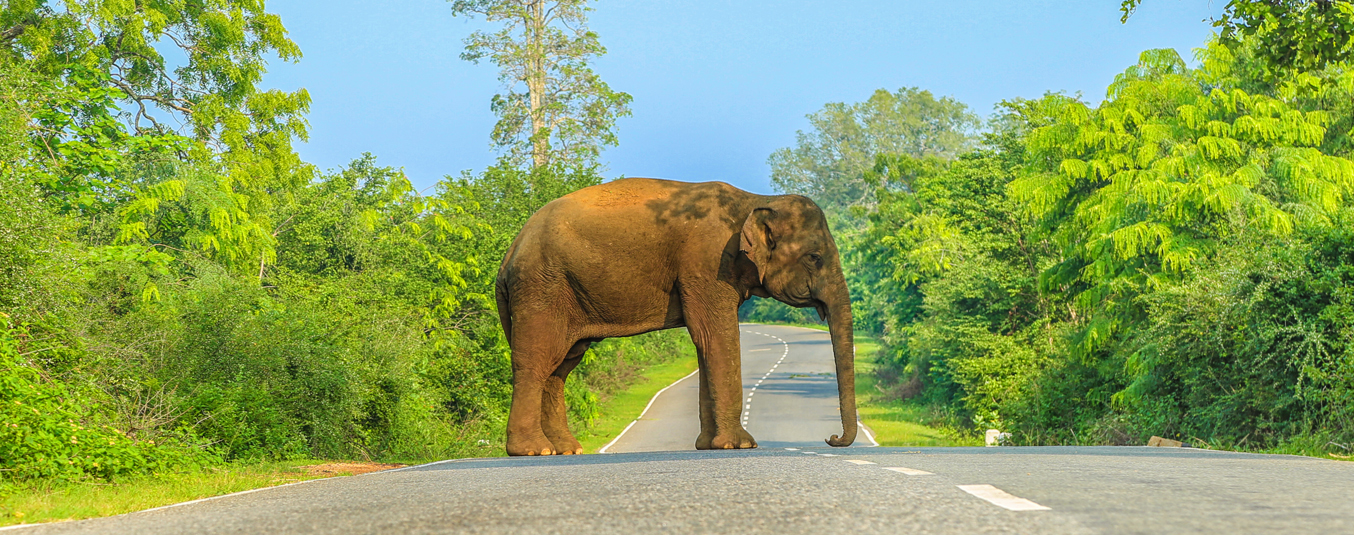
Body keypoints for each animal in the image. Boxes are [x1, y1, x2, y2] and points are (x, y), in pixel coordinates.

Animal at [495, 178, 855, 457]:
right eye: (815, 257)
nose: (831, 438)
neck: (754, 200)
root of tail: (510, 252)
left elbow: (706, 343)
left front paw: (710, 445)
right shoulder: (707, 263)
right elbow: (715, 336)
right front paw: (739, 446)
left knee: (561, 365)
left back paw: (565, 449)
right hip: (541, 288)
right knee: (538, 360)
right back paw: (533, 451)